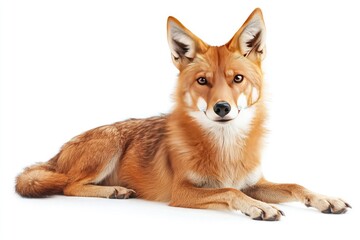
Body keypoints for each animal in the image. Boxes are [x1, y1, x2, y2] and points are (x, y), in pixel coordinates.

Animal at [15, 7, 350, 221]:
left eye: (237, 79)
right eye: (203, 81)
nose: (222, 108)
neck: (226, 150)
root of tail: (59, 152)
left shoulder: (255, 182)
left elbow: (295, 185)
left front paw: (326, 199)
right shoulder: (183, 192)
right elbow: (229, 190)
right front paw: (258, 207)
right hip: (109, 144)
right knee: (69, 185)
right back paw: (114, 190)